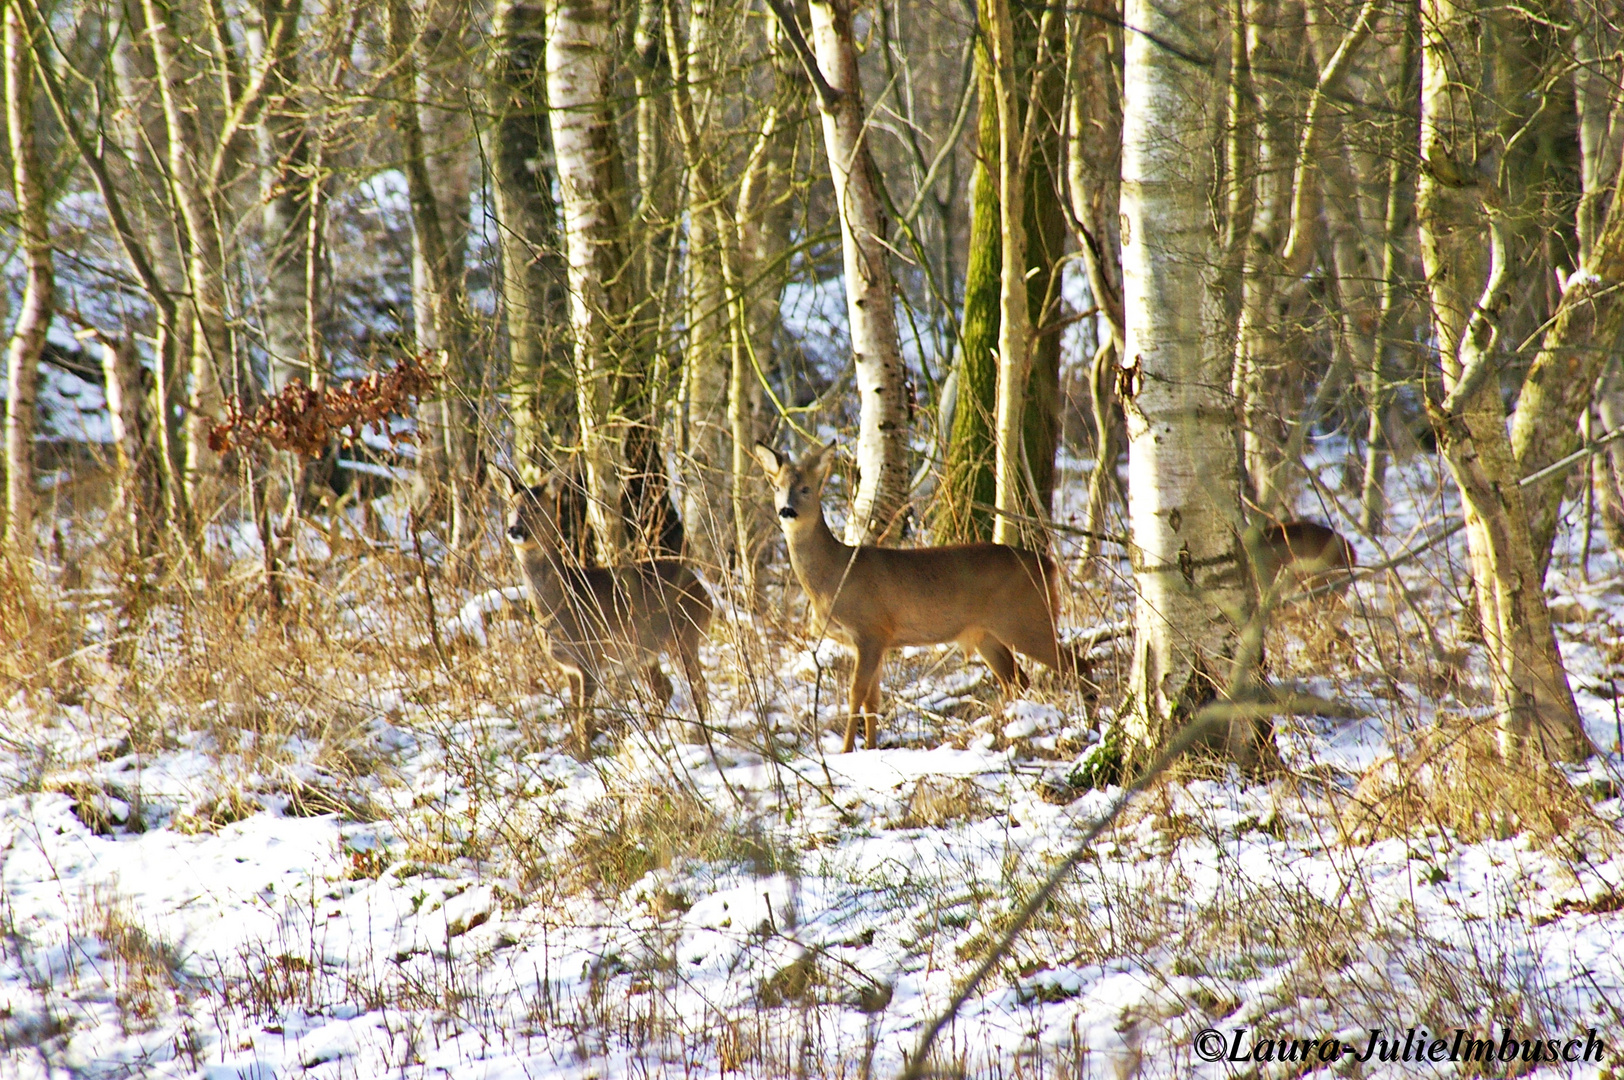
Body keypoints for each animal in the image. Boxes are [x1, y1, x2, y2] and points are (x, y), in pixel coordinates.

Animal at [493, 457, 711, 753]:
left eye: (535, 508)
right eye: (509, 507)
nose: (514, 530)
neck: (563, 600)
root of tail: (705, 592)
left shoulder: (590, 658)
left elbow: (585, 720)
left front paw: (584, 755)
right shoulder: (568, 667)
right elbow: (576, 715)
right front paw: (578, 753)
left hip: (684, 634)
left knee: (698, 688)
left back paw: (700, 737)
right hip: (643, 651)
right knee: (666, 689)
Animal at [753, 438, 1084, 750]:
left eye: (806, 488)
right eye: (777, 487)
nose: (786, 510)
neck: (834, 576)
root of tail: (1049, 566)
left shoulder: (870, 630)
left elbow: (856, 694)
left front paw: (846, 751)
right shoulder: (878, 640)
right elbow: (873, 699)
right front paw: (870, 749)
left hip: (1026, 621)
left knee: (1075, 664)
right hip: (988, 635)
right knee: (1018, 680)